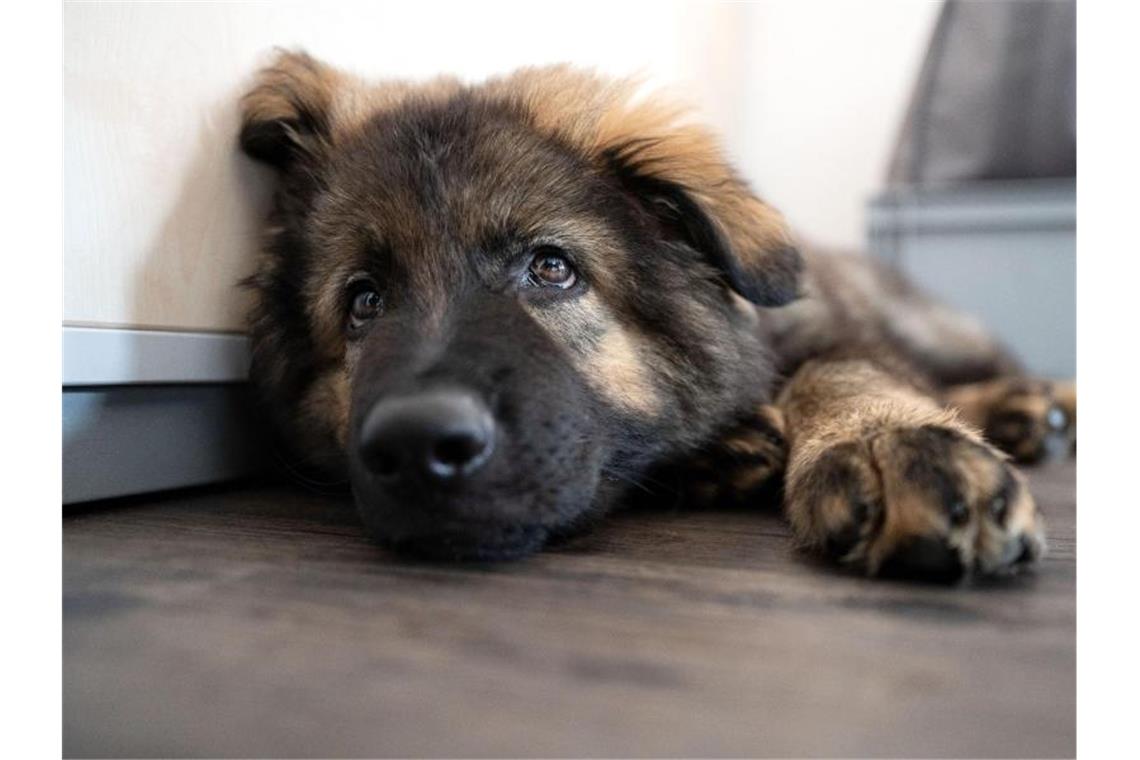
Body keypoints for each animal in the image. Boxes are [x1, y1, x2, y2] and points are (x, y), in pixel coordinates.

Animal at [235, 50, 1071, 578]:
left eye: (552, 268)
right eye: (364, 302)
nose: (416, 444)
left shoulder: (828, 330)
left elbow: (842, 371)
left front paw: (886, 444)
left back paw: (1038, 402)